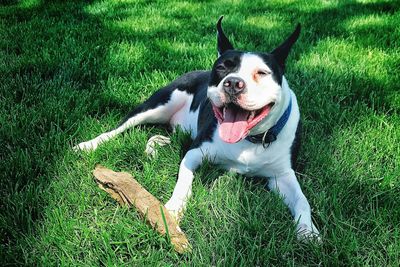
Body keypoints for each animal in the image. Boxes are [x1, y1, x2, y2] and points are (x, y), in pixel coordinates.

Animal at [74, 17, 318, 241]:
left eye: (262, 73)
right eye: (221, 68)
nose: (233, 83)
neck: (250, 140)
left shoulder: (282, 176)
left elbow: (302, 200)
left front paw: (308, 231)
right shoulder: (195, 153)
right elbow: (184, 182)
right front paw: (172, 210)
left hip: (180, 131)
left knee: (160, 136)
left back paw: (153, 150)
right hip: (157, 106)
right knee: (118, 129)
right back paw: (88, 145)